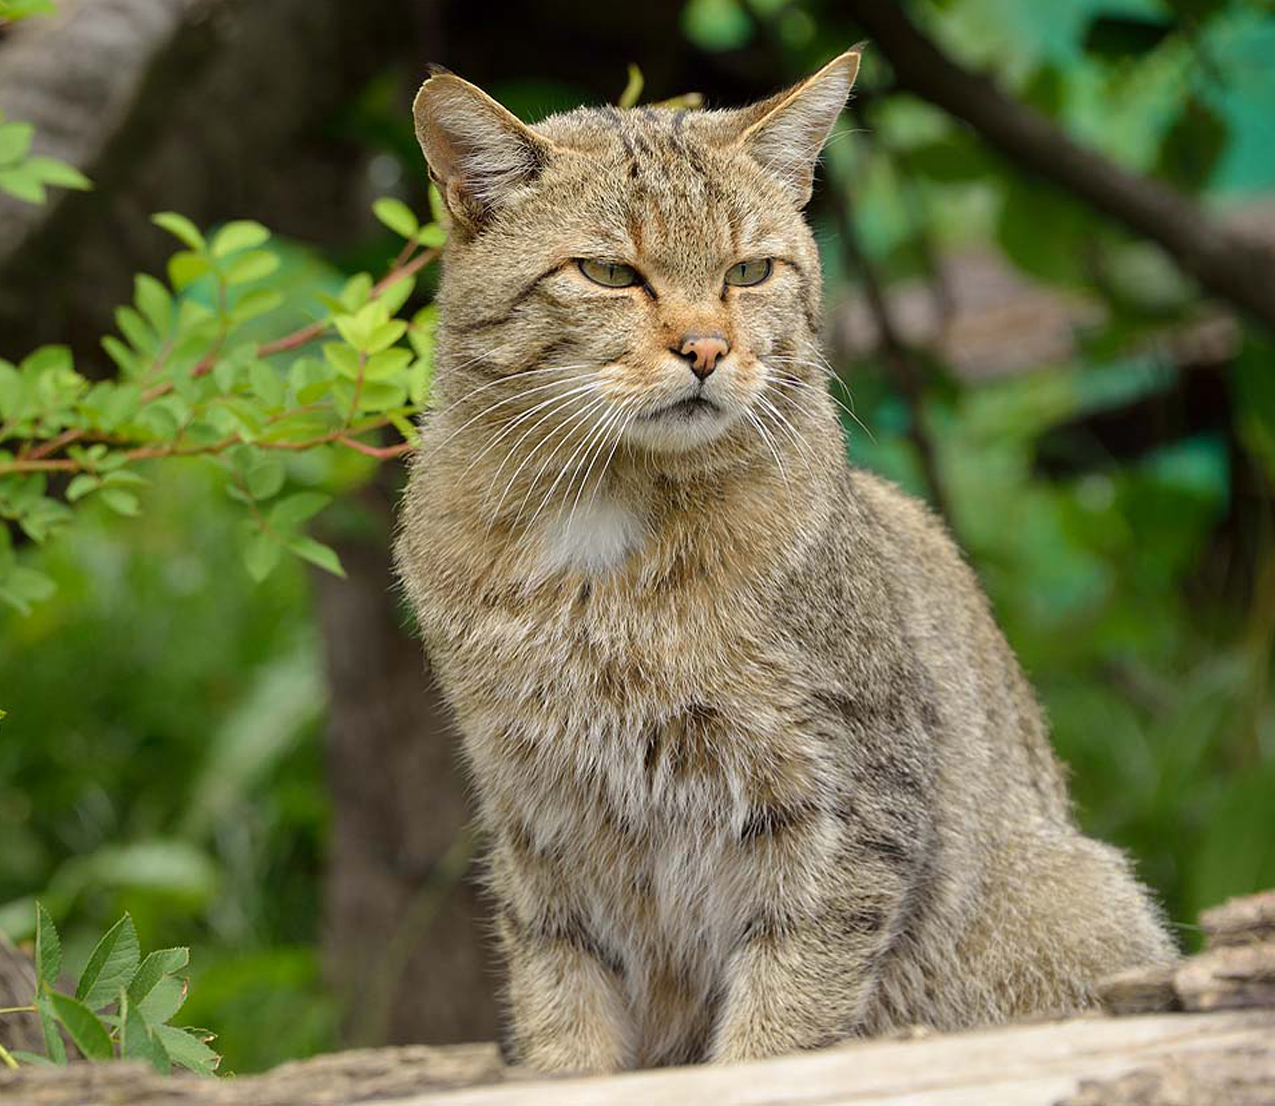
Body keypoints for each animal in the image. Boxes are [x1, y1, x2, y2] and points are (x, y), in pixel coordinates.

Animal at [390, 49, 1173, 1071]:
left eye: (750, 270)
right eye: (609, 272)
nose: (706, 348)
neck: (601, 530)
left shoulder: (847, 800)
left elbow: (784, 1017)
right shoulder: (537, 815)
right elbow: (564, 1018)